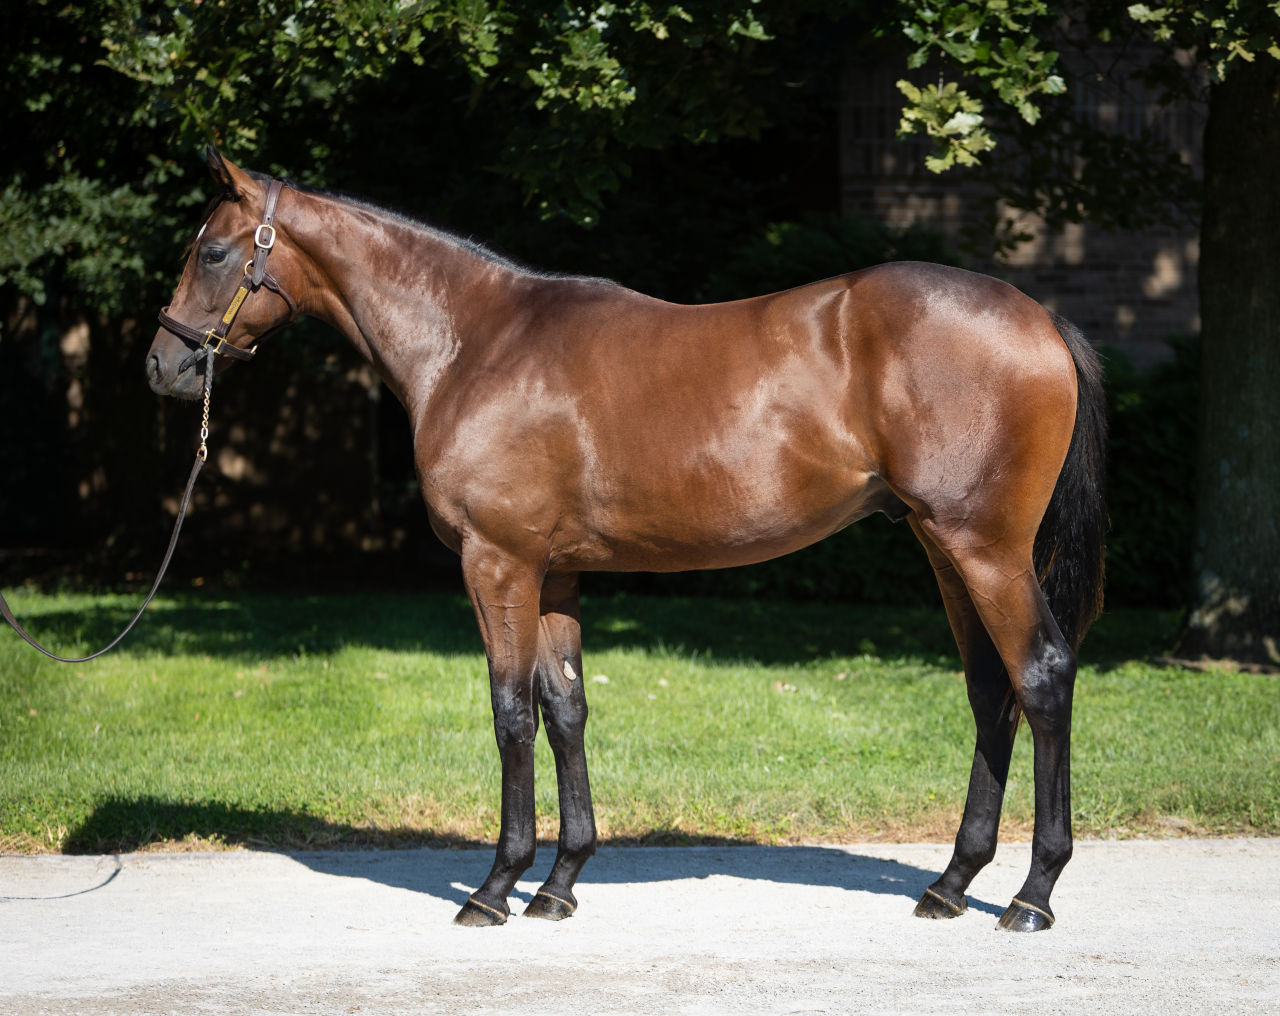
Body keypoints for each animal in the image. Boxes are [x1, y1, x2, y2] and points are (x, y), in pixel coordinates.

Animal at [149, 146, 1105, 931]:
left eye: (214, 251)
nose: (163, 366)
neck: (474, 344)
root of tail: (1039, 318)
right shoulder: (554, 575)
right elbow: (566, 709)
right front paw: (560, 882)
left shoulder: (497, 563)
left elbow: (510, 712)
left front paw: (496, 888)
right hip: (944, 550)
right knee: (991, 689)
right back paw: (951, 883)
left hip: (984, 549)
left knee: (1041, 676)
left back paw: (1031, 895)